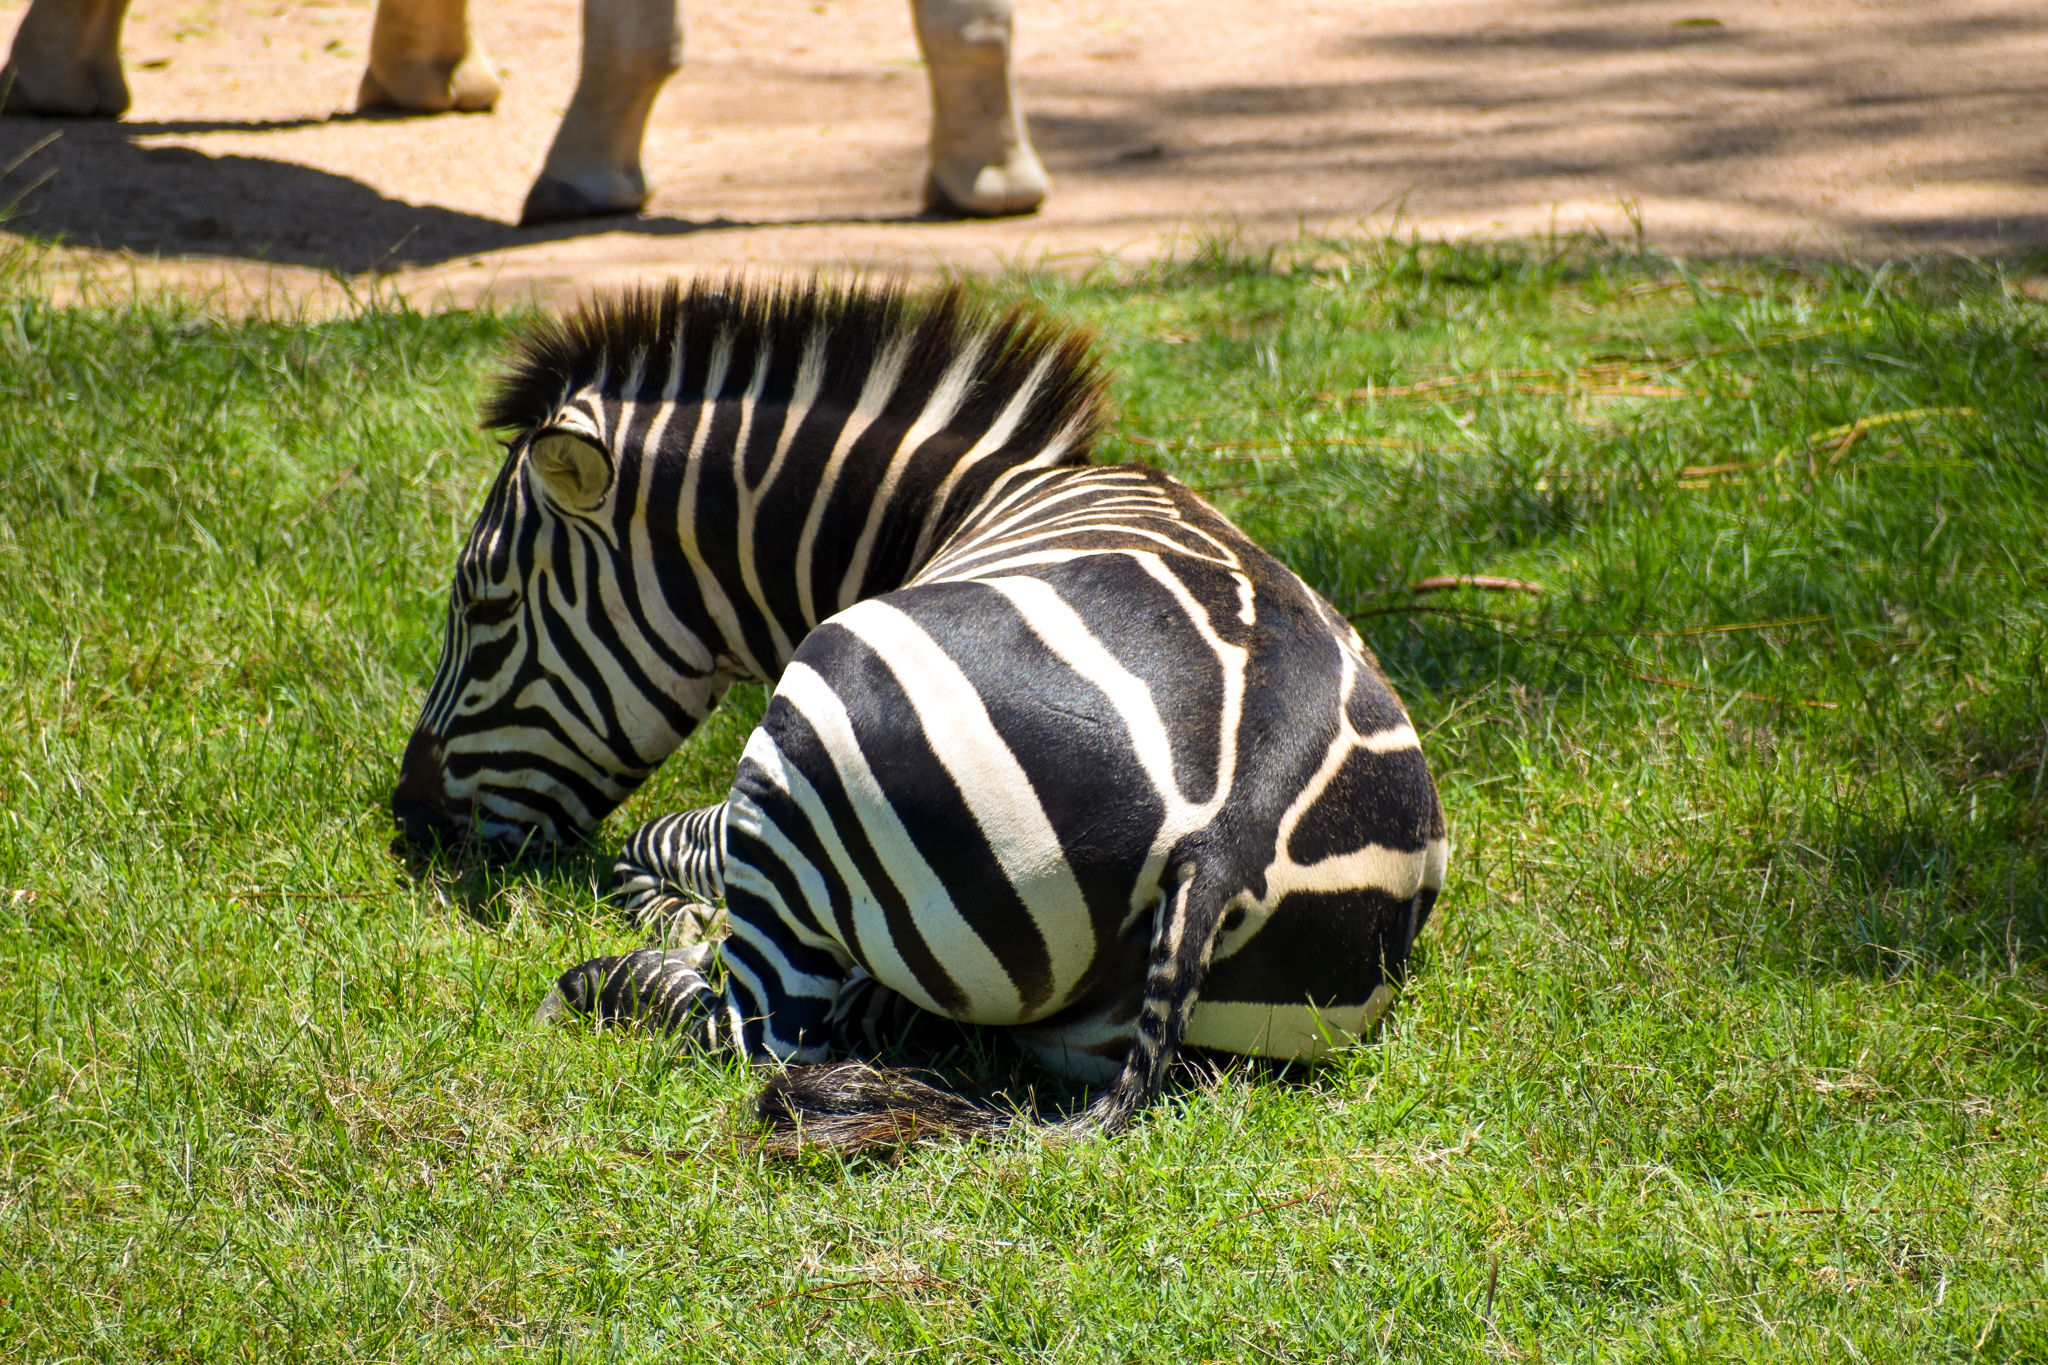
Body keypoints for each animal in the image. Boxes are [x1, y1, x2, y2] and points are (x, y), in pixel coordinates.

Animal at [391, 277, 1448, 1139]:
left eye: (485, 606)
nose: (410, 824)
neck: (964, 499)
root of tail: (1223, 839)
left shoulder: (750, 801)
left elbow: (648, 844)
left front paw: (680, 911)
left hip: (815, 724)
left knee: (753, 1030)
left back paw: (607, 978)